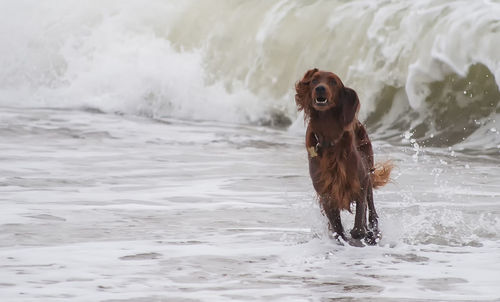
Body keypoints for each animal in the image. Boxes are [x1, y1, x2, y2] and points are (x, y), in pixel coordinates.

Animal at [294, 68, 392, 245]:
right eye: (314, 80)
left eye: (333, 81)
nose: (320, 88)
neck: (330, 138)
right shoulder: (325, 193)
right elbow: (337, 229)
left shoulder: (360, 182)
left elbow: (360, 221)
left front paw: (361, 234)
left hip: (368, 172)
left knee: (372, 211)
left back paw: (373, 233)